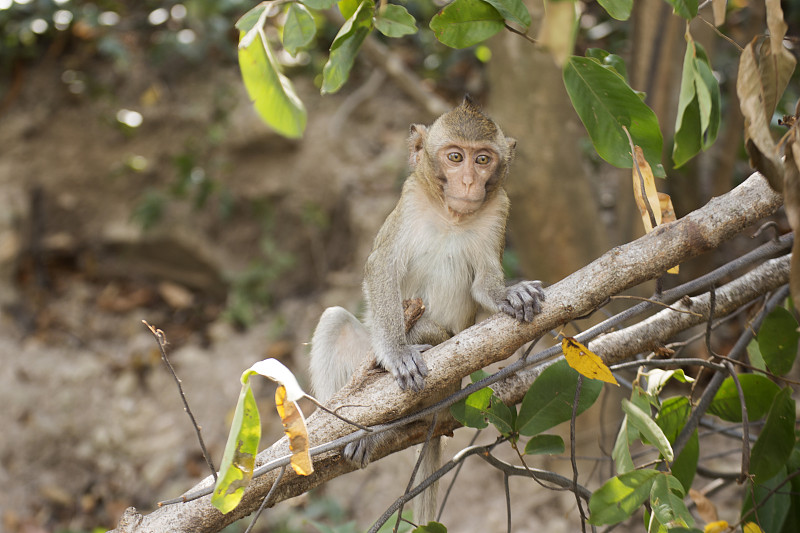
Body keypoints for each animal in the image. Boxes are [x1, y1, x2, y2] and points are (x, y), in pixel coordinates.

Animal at [308, 96, 544, 524]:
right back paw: (359, 431)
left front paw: (510, 294)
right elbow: (381, 268)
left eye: (482, 159)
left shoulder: (499, 209)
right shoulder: (410, 201)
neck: (451, 216)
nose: (468, 182)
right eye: (455, 157)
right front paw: (397, 353)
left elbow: (484, 284)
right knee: (335, 320)